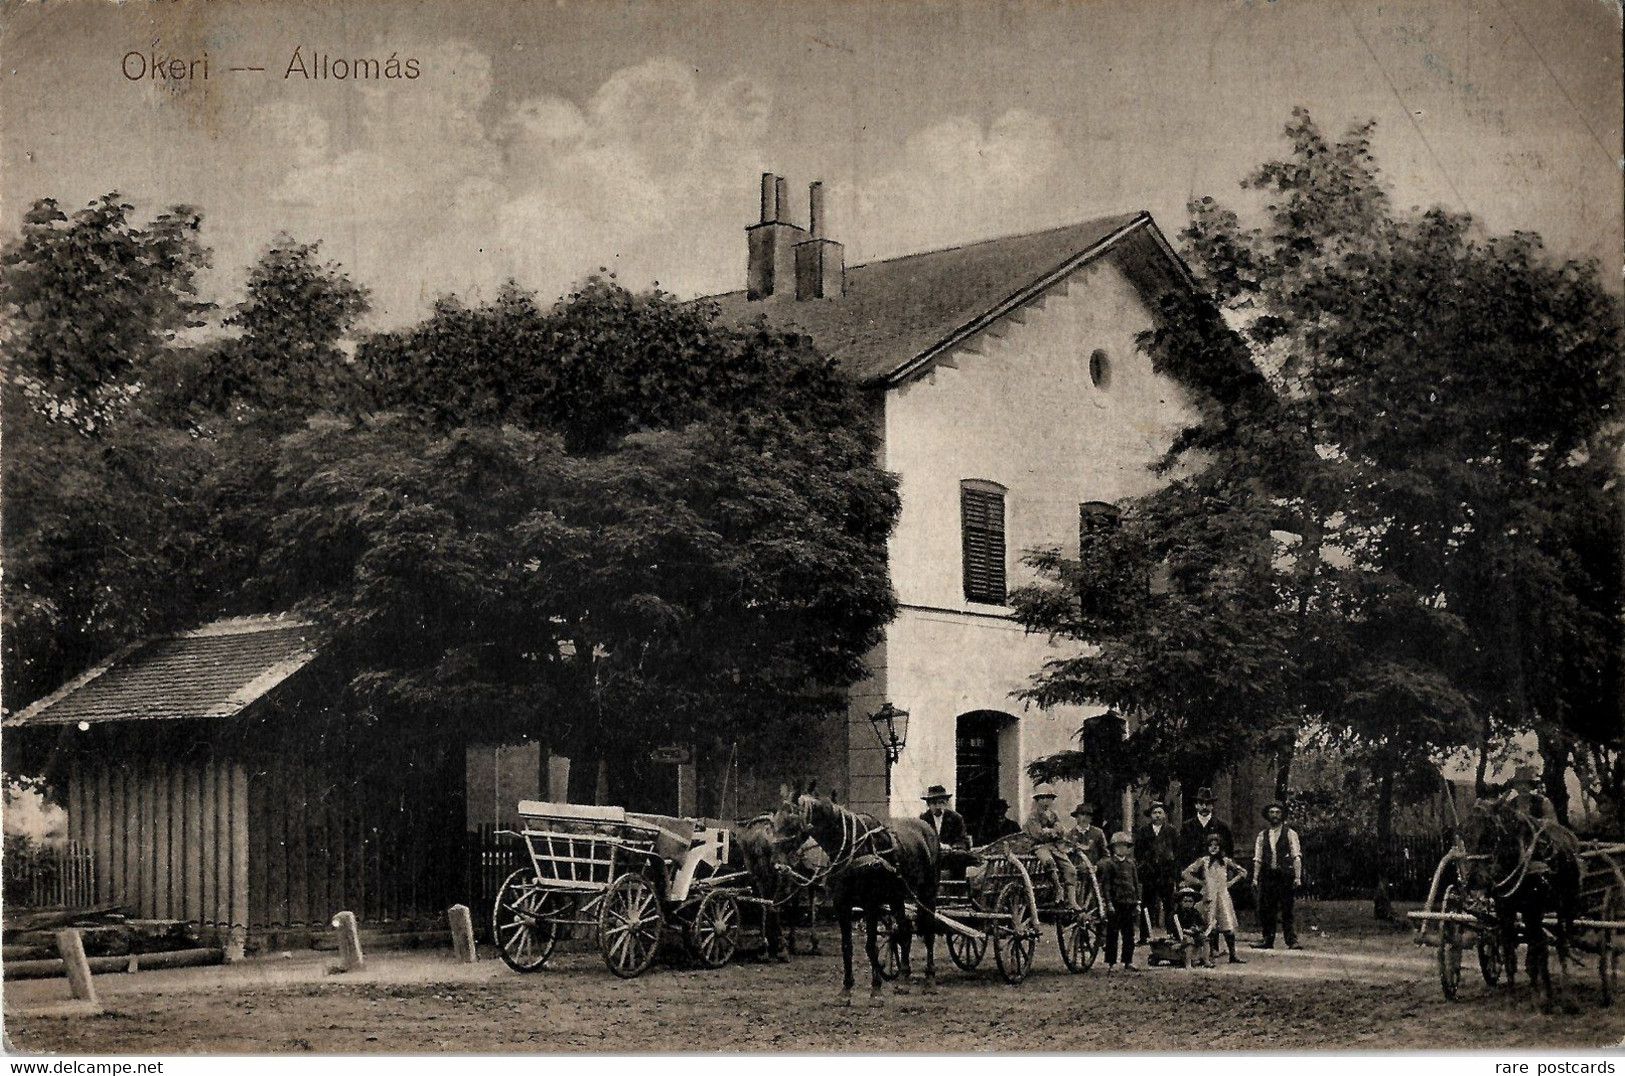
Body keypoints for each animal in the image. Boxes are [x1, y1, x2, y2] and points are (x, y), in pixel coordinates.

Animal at [1462, 799, 1573, 1014]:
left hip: (1562, 905)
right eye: (1464, 834)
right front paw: (1511, 997)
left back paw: (1565, 994)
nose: (1474, 881)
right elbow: (1509, 953)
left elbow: (1536, 953)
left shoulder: (1533, 909)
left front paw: (1540, 999)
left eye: (1489, 832)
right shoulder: (1505, 910)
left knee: (1560, 943)